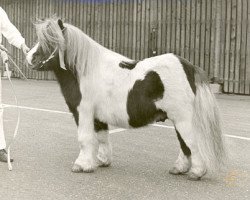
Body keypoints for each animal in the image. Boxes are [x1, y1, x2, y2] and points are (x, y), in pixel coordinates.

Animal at [26, 18, 226, 180]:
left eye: (50, 41)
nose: (29, 57)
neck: (85, 70)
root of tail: (188, 66)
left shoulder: (83, 112)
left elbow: (85, 138)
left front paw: (82, 165)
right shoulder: (98, 117)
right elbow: (102, 138)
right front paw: (101, 161)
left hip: (182, 118)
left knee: (191, 142)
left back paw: (196, 172)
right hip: (178, 119)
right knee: (184, 144)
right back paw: (179, 169)